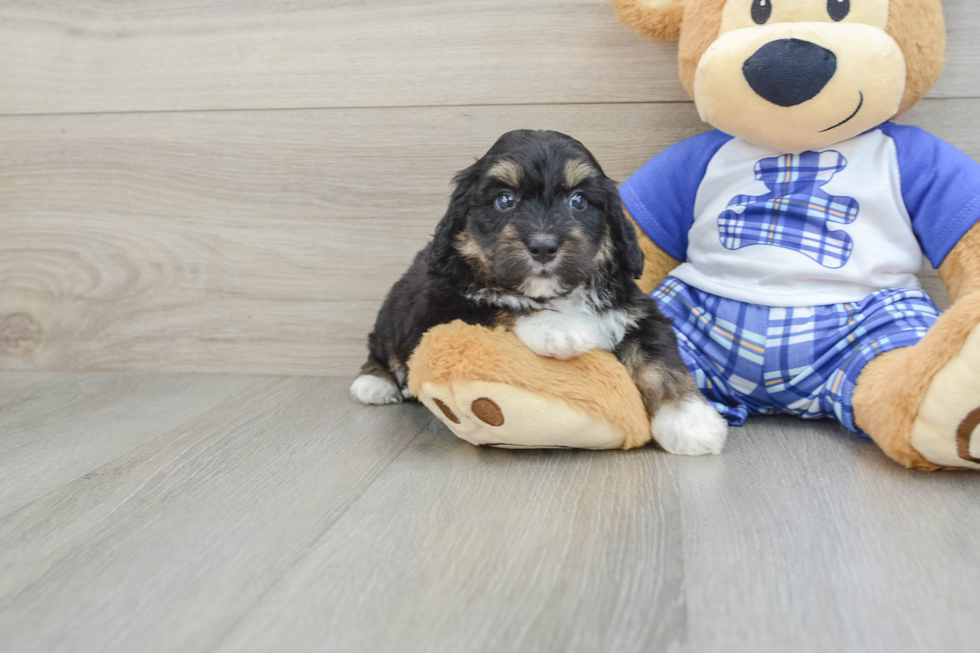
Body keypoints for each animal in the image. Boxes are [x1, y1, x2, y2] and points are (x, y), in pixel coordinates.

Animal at [352, 127, 728, 454]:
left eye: (579, 201)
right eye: (505, 200)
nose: (544, 246)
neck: (557, 293)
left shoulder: (637, 312)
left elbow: (662, 362)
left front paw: (690, 421)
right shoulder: (440, 308)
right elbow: (501, 305)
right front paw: (557, 329)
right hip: (393, 313)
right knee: (380, 347)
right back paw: (374, 383)